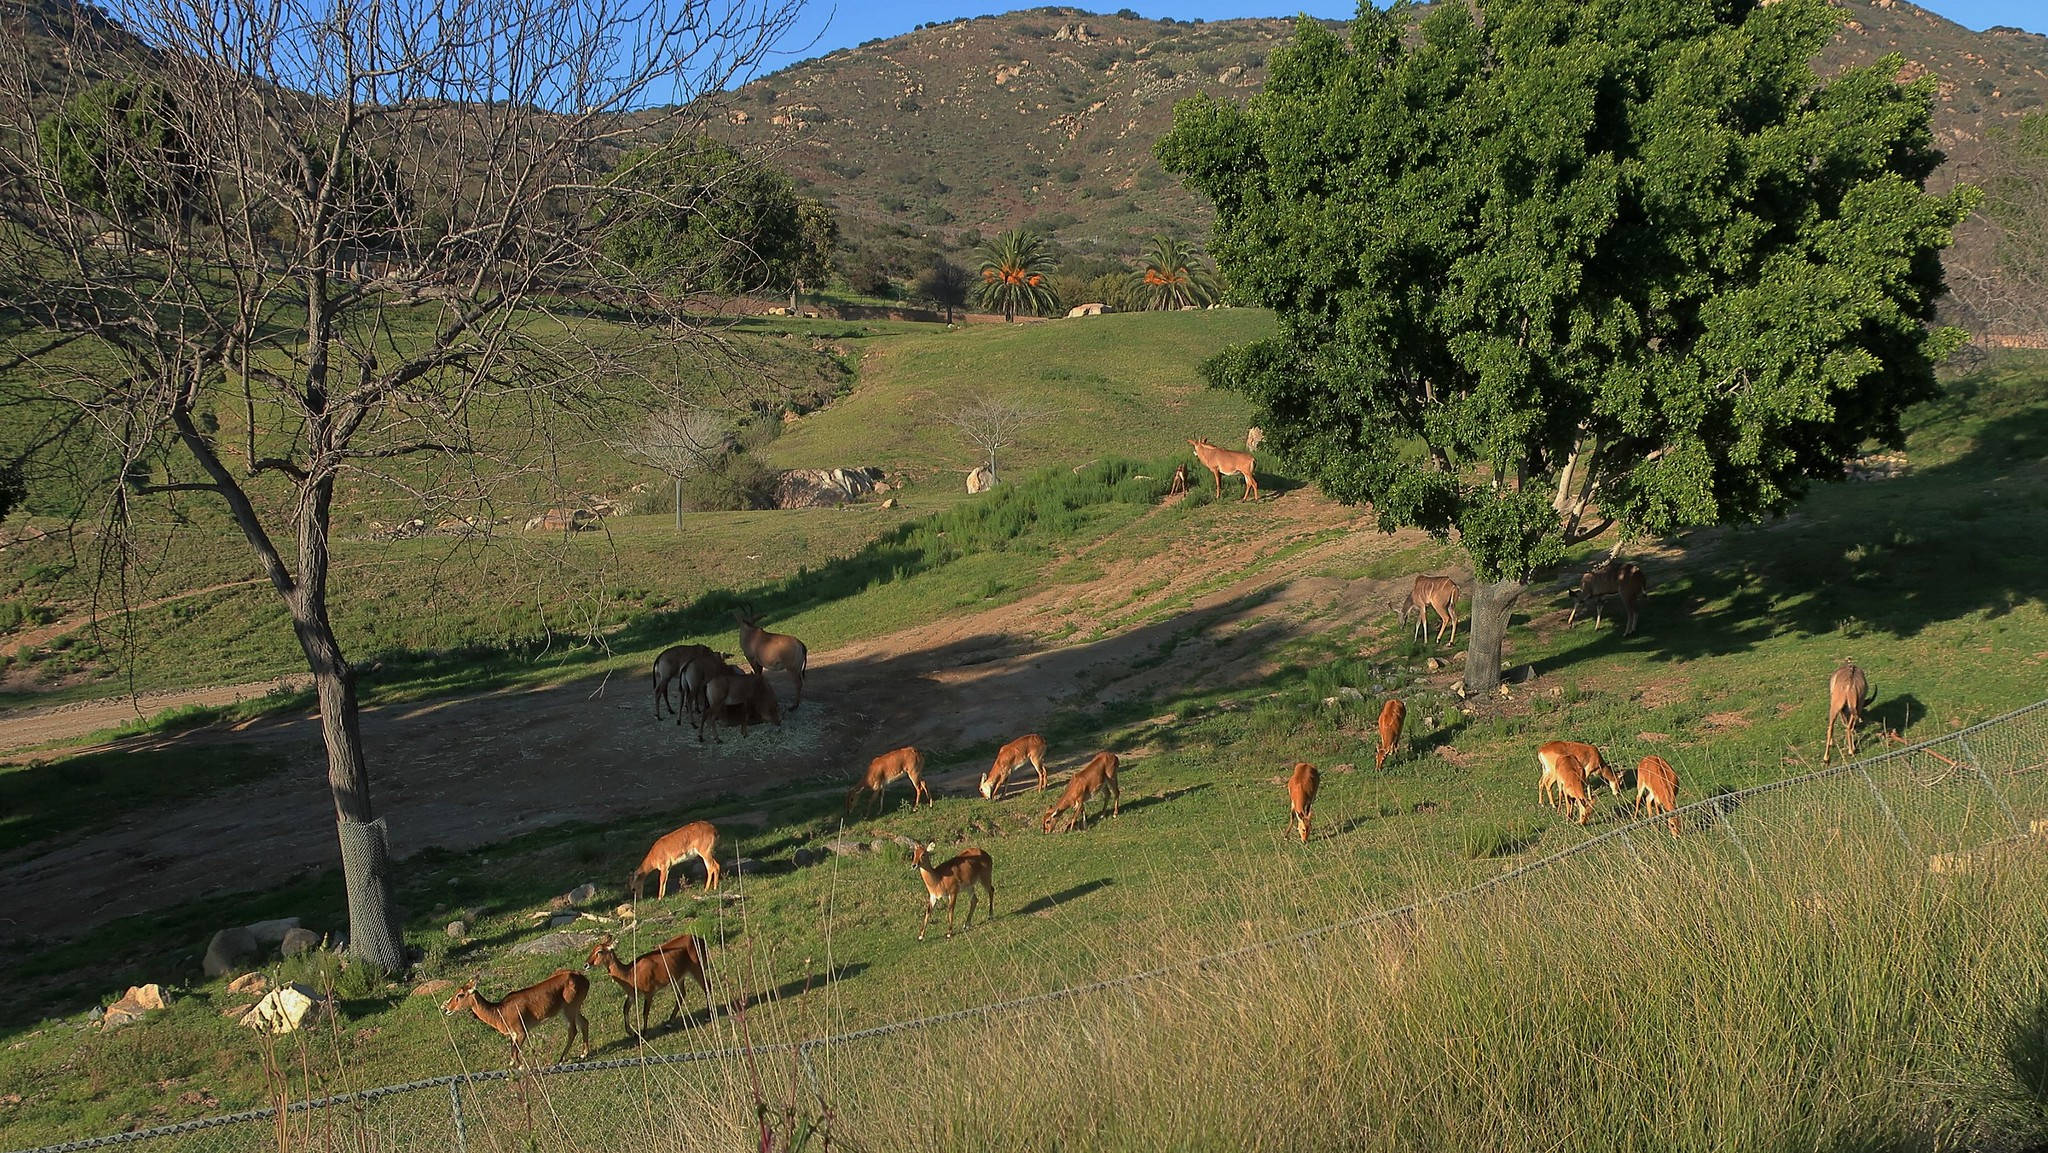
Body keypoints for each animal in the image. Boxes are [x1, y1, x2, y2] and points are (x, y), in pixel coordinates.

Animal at [441, 971, 591, 1067]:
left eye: (460, 995)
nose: (446, 1008)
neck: (499, 1012)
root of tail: (585, 980)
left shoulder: (521, 1032)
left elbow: (515, 1053)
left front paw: (520, 1068)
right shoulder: (513, 1035)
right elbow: (512, 1052)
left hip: (569, 1009)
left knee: (573, 1030)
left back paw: (561, 1059)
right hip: (574, 1008)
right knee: (584, 1022)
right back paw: (583, 1054)